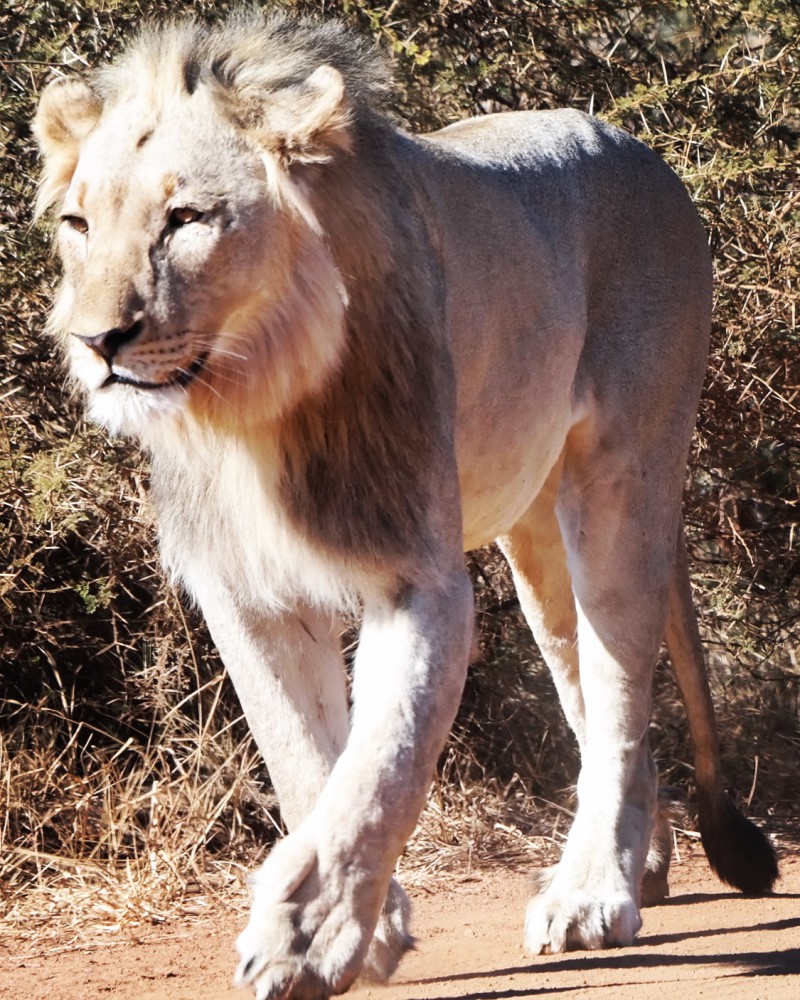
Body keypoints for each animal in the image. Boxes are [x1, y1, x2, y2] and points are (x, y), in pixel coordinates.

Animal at [34, 11, 777, 999]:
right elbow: (306, 760)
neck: (248, 407)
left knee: (621, 697)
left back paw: (591, 892)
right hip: (535, 540)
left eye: (186, 219)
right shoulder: (243, 590)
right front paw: (372, 925)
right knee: (592, 699)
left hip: (621, 483)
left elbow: (380, 766)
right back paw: (638, 862)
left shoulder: (415, 576)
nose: (97, 341)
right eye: (77, 223)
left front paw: (306, 938)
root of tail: (635, 146)